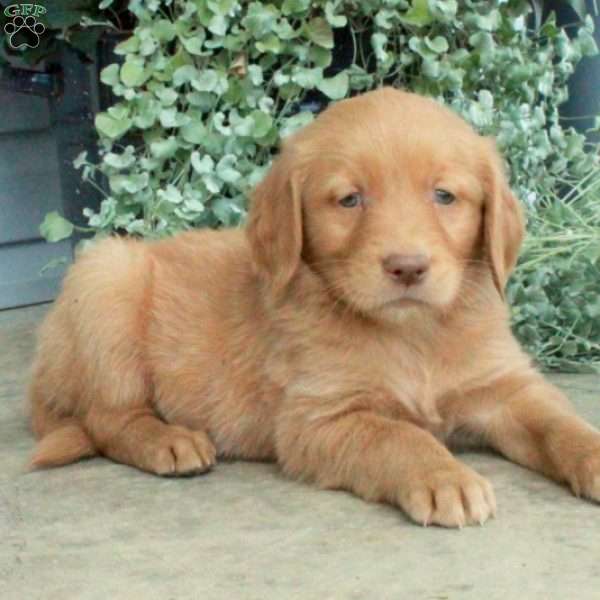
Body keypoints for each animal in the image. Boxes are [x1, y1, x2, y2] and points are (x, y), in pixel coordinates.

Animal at [28, 88, 600, 524]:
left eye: (444, 196)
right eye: (350, 200)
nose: (407, 267)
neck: (413, 334)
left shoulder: (506, 387)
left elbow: (561, 423)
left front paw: (594, 456)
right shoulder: (317, 419)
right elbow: (397, 435)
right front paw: (445, 476)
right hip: (106, 278)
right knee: (108, 417)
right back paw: (169, 442)